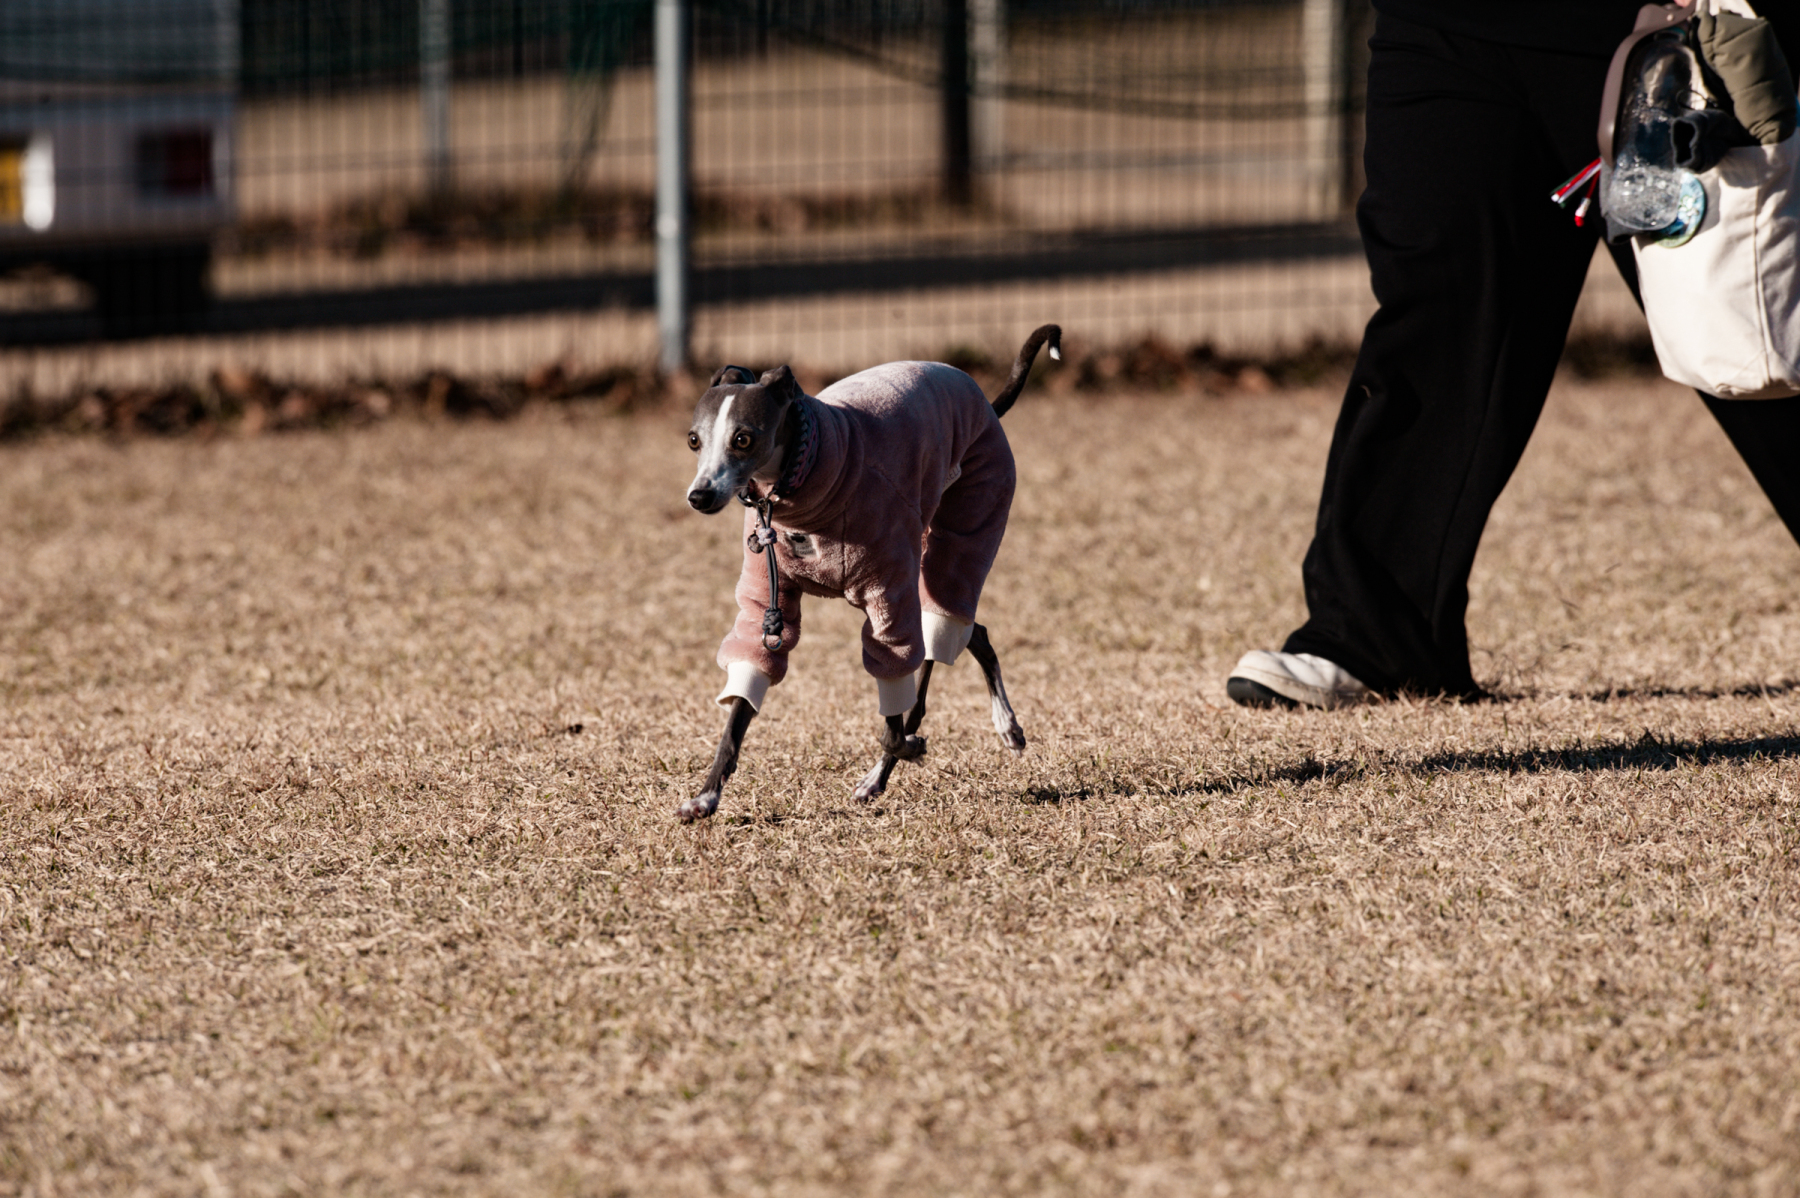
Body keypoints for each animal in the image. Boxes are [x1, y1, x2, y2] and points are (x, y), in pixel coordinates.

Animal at [678, 325, 1061, 822]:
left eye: (743, 439)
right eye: (693, 440)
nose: (699, 496)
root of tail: (981, 398)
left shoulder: (888, 594)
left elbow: (895, 713)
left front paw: (906, 748)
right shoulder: (767, 601)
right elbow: (742, 701)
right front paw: (706, 796)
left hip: (965, 523)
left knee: (940, 648)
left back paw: (975, 736)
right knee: (974, 633)